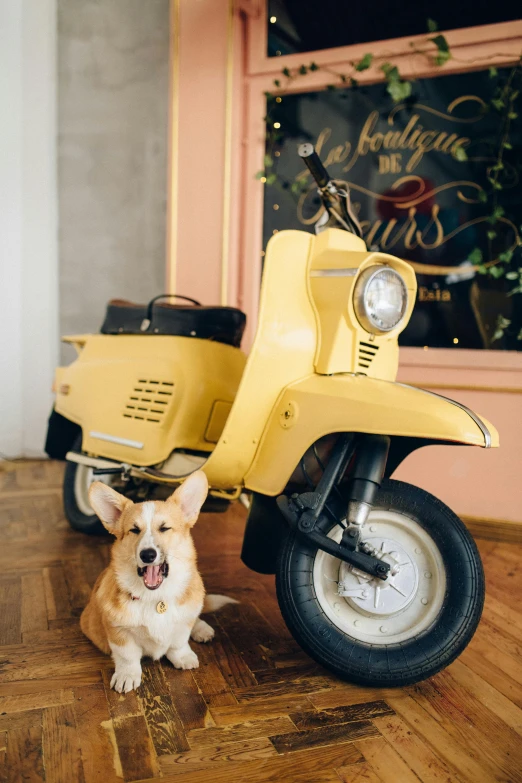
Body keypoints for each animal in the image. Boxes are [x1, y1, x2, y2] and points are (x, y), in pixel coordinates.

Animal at [79, 468, 234, 696]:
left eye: (165, 528)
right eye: (134, 530)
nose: (148, 554)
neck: (155, 598)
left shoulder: (181, 624)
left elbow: (178, 642)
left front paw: (183, 656)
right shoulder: (117, 631)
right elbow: (127, 656)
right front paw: (127, 676)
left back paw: (202, 629)